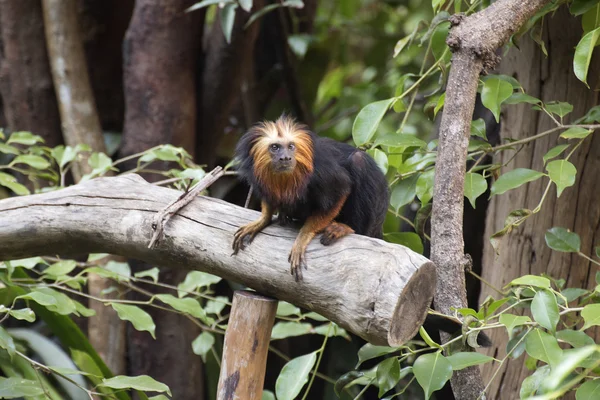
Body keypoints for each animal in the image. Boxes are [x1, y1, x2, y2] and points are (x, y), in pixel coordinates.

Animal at [230, 114, 390, 280]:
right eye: (275, 147)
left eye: (291, 147)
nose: (286, 158)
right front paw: (262, 220)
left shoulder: (323, 172)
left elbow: (341, 190)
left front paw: (303, 237)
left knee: (359, 160)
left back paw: (346, 227)